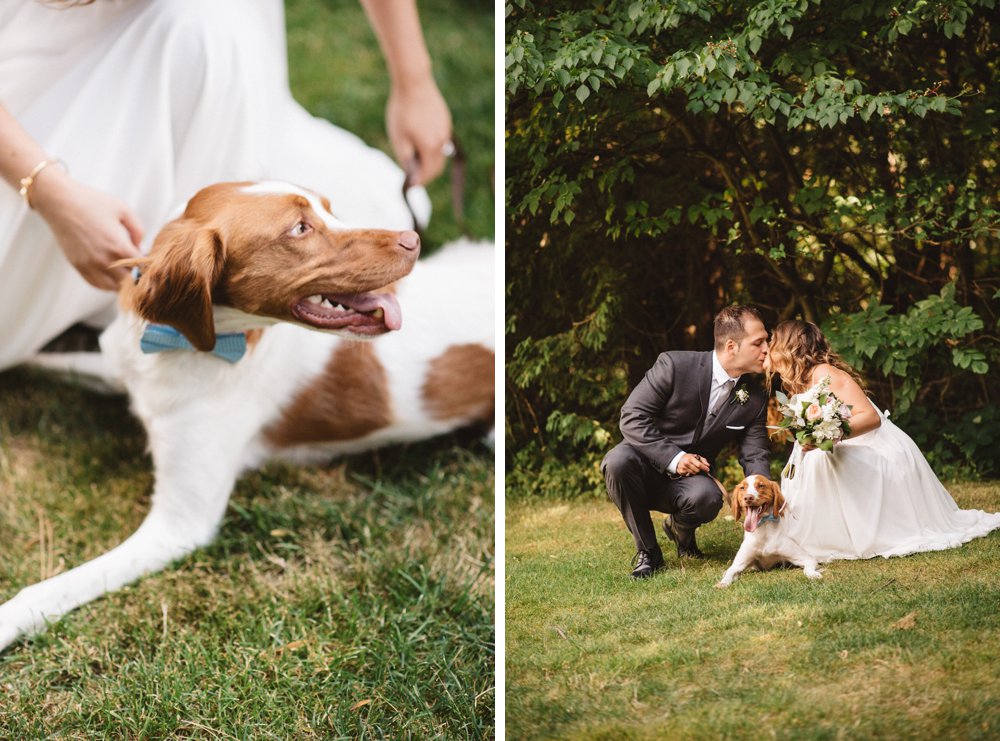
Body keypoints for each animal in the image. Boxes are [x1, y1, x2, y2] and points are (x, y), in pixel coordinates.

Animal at [0, 181, 492, 648]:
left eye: (329, 209)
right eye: (300, 228)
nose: (413, 240)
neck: (183, 347)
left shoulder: (180, 524)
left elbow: (51, 588)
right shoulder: (116, 370)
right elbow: (36, 360)